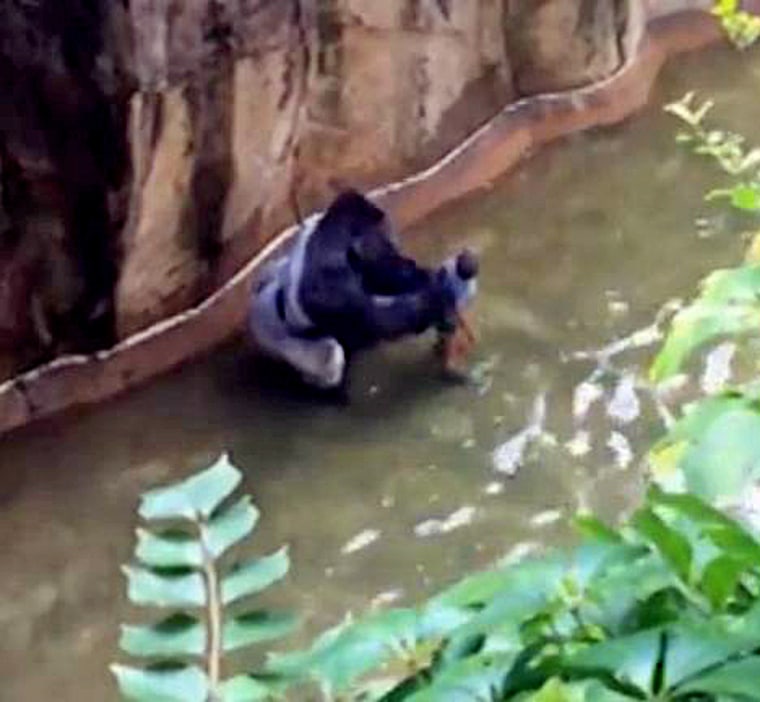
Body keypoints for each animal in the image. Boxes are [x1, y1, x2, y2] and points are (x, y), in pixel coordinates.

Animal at [246, 188, 478, 390]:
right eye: (384, 235)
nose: (394, 243)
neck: (332, 228)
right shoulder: (330, 266)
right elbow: (371, 317)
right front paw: (435, 300)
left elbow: (384, 276)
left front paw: (430, 281)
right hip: (276, 342)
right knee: (329, 354)